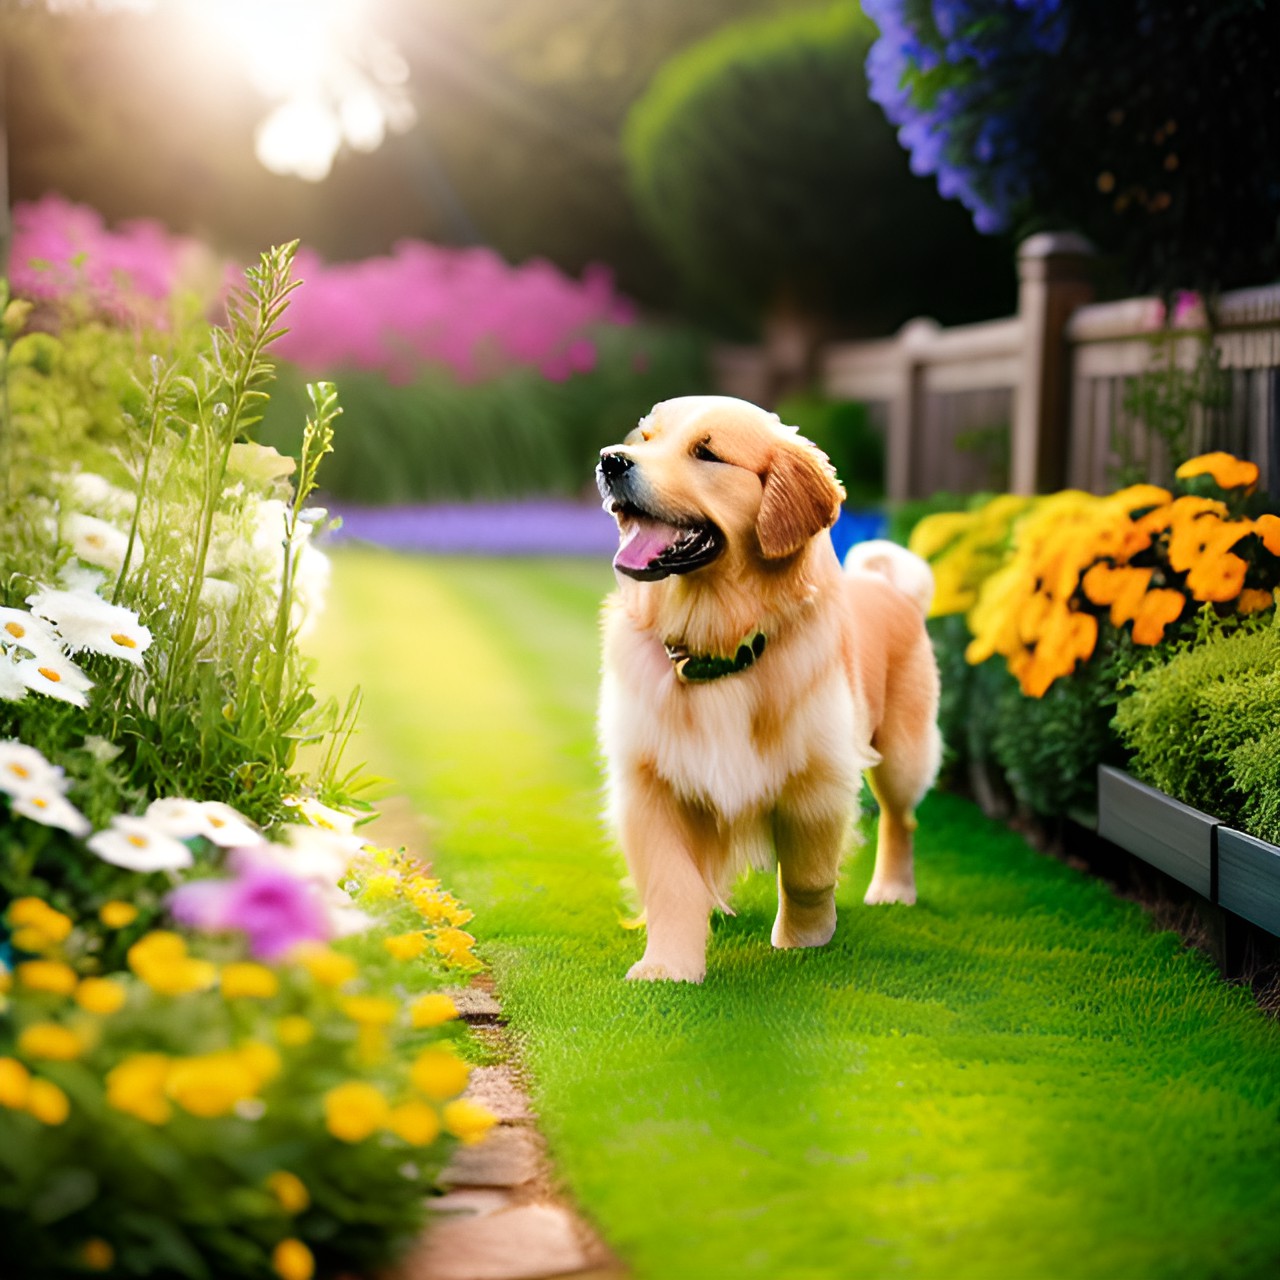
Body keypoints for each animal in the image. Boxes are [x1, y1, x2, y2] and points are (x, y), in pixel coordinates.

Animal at [596, 394, 942, 983]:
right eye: (643, 439)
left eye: (707, 453)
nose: (610, 460)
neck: (716, 648)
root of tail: (887, 584)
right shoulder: (650, 783)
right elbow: (673, 881)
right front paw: (669, 965)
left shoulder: (817, 780)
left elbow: (807, 875)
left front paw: (805, 939)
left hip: (903, 752)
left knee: (902, 818)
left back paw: (893, 889)